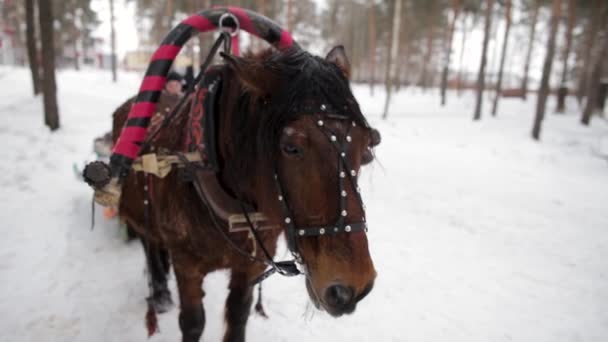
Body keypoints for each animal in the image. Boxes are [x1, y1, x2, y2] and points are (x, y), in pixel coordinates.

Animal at [113, 46, 378, 342]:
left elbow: (239, 315)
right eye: (291, 147)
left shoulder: (250, 266)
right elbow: (193, 322)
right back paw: (159, 293)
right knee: (150, 245)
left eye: (365, 146)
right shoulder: (187, 267)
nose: (352, 287)